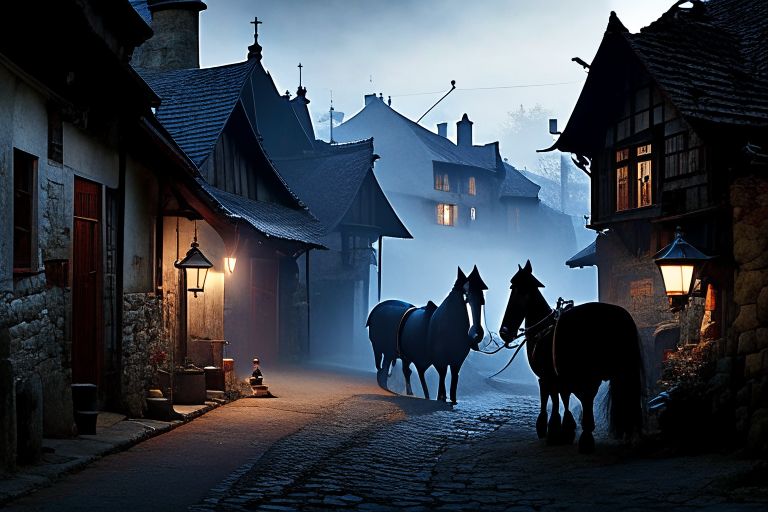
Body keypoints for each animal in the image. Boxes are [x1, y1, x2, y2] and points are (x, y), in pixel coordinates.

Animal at [366, 266, 486, 402]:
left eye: (482, 299)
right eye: (466, 297)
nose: (477, 332)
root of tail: (377, 308)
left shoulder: (457, 360)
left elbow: (454, 379)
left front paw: (451, 399)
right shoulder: (440, 360)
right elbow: (441, 378)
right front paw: (440, 398)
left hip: (402, 354)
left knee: (404, 370)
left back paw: (408, 392)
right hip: (384, 350)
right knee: (385, 367)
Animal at [500, 262, 644, 454]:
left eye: (514, 290)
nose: (504, 332)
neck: (542, 330)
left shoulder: (547, 377)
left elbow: (550, 398)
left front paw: (549, 428)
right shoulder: (561, 377)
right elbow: (564, 397)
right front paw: (566, 429)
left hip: (587, 376)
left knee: (586, 399)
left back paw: (587, 438)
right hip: (619, 374)